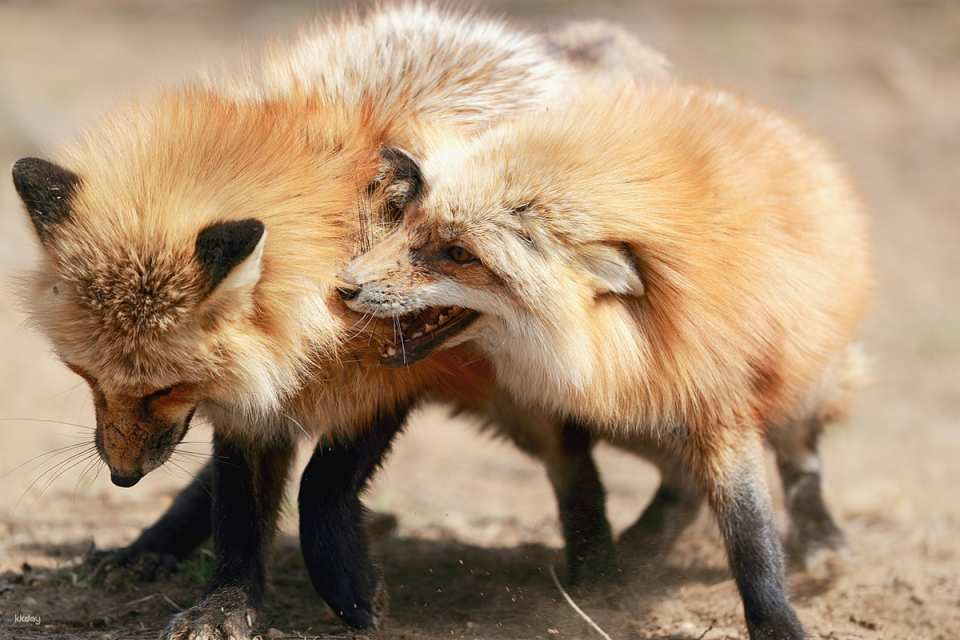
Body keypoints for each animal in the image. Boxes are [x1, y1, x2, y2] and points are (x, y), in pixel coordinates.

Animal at [10, 6, 679, 637]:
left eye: (166, 388)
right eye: (85, 377)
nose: (122, 478)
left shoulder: (388, 372)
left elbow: (322, 485)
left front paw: (347, 587)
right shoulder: (251, 389)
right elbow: (238, 512)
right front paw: (226, 605)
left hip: (525, 391)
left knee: (575, 463)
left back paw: (600, 577)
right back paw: (148, 548)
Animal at [339, 83, 871, 640]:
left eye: (460, 254)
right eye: (406, 224)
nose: (344, 287)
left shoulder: (717, 399)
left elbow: (751, 536)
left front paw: (776, 624)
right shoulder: (558, 397)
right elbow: (579, 483)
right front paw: (595, 575)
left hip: (792, 384)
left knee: (799, 456)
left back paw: (820, 539)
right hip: (631, 420)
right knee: (682, 483)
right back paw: (641, 547)